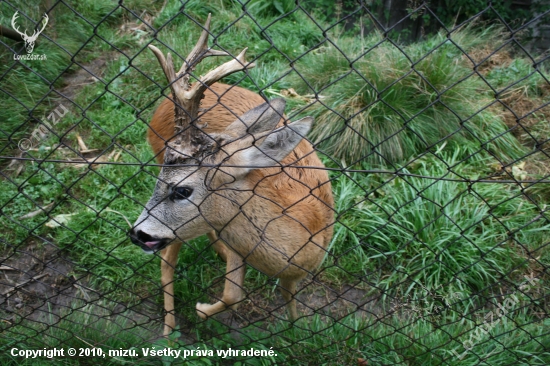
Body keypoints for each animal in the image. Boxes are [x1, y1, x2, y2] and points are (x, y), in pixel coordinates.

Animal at [129, 15, 334, 334]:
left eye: (182, 190)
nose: (136, 234)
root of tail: (159, 108)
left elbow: (288, 295)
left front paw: (296, 327)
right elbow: (232, 294)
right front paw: (201, 310)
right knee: (167, 260)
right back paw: (169, 330)